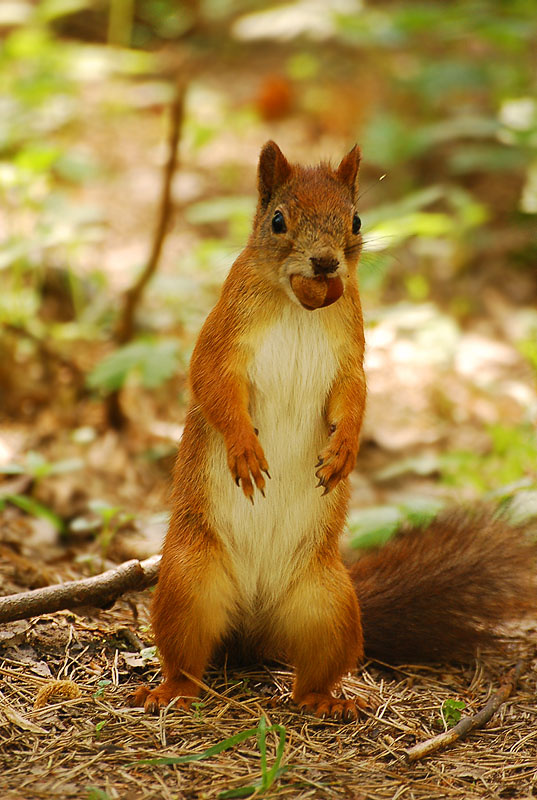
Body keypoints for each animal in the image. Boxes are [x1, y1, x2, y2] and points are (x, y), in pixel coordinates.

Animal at [133, 141, 534, 721]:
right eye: (278, 220)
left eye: (356, 219)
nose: (324, 262)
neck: (298, 303)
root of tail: (253, 625)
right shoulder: (223, 334)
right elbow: (211, 382)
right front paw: (245, 450)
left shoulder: (352, 352)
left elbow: (356, 397)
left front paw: (344, 451)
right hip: (187, 584)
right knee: (186, 659)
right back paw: (171, 691)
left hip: (330, 605)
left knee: (314, 673)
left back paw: (328, 701)